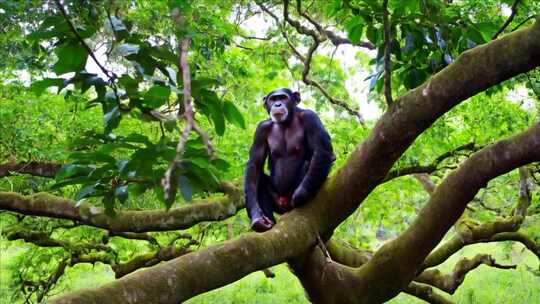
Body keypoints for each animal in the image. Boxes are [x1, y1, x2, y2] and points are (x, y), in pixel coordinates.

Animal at [245, 88, 334, 233]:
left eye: (283, 98)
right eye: (273, 99)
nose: (277, 104)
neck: (286, 121)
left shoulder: (311, 118)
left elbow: (322, 151)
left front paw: (299, 196)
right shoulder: (261, 129)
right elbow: (255, 165)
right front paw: (257, 218)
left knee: (309, 163)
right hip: (278, 202)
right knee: (260, 179)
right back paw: (269, 223)